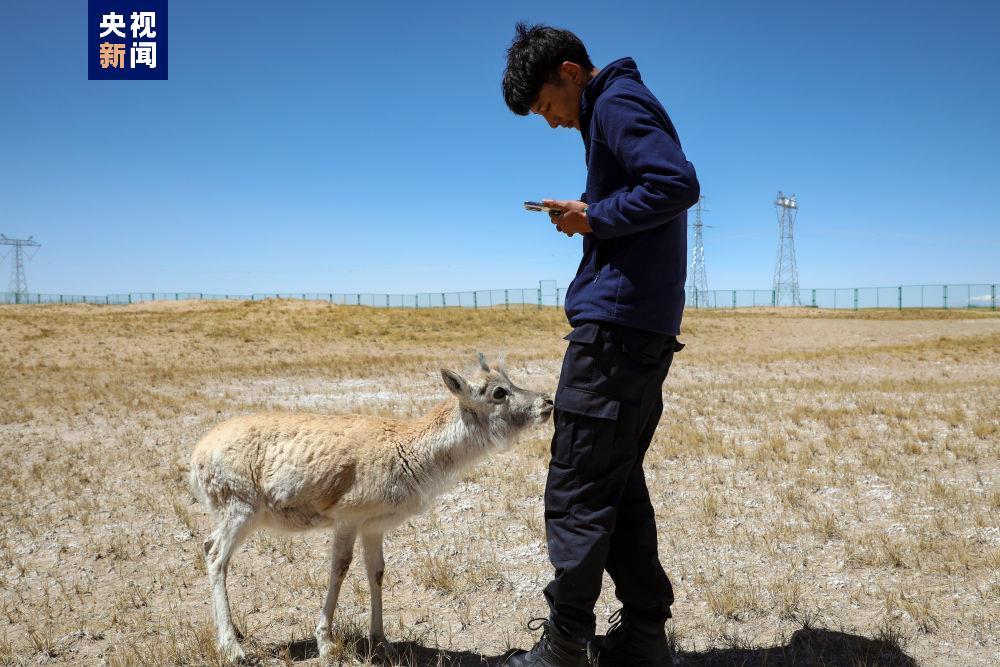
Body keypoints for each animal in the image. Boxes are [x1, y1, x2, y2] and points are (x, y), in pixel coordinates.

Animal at [191, 354, 552, 664]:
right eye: (499, 391)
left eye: (509, 379)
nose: (547, 402)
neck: (407, 449)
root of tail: (197, 453)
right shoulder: (347, 519)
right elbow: (339, 568)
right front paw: (326, 642)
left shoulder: (374, 526)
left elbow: (376, 572)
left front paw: (382, 641)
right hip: (241, 510)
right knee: (217, 556)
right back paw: (233, 649)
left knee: (207, 545)